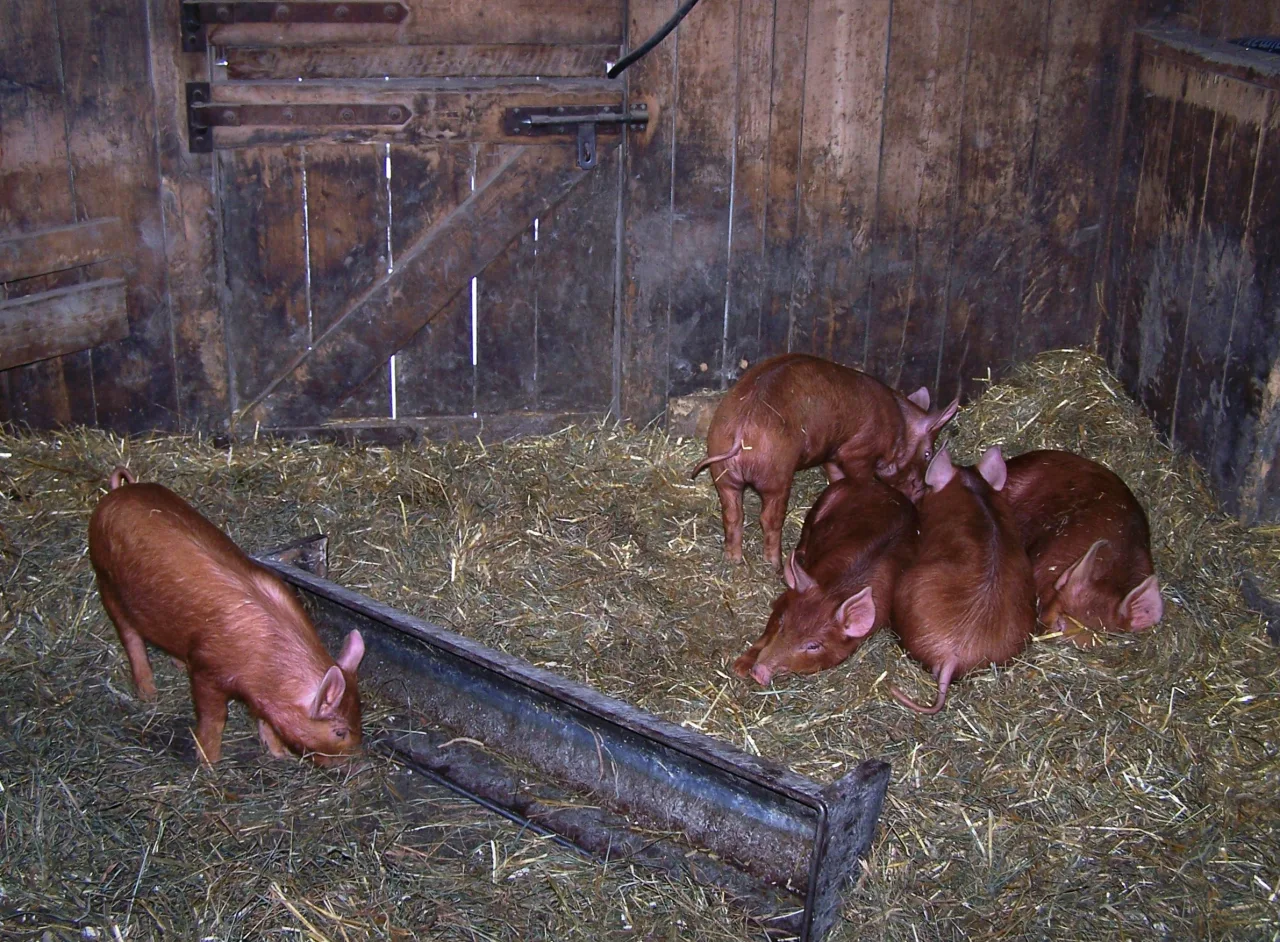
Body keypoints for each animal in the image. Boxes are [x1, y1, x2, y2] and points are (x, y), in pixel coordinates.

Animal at [88, 466, 365, 766]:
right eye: (339, 732)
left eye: (359, 718)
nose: (356, 765)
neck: (267, 663)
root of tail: (118, 491)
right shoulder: (206, 667)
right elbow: (216, 716)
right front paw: (209, 763)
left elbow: (265, 718)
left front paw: (279, 755)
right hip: (105, 579)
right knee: (129, 635)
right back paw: (149, 694)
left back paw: (176, 665)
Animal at [690, 353, 958, 570]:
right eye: (927, 453)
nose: (920, 490)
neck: (899, 427)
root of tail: (741, 432)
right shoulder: (858, 452)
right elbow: (860, 477)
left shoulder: (832, 454)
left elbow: (836, 476)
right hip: (777, 474)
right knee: (768, 518)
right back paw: (775, 563)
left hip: (723, 472)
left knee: (733, 514)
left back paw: (733, 559)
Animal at [733, 478, 919, 685]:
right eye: (781, 620)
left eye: (813, 646)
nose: (758, 672)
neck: (835, 590)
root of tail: (888, 488)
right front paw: (739, 668)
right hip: (823, 501)